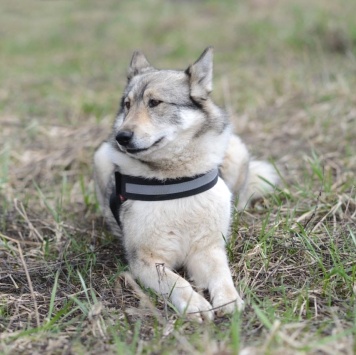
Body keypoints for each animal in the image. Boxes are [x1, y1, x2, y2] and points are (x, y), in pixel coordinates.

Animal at [92, 47, 278, 322]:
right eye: (127, 105)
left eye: (155, 103)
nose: (121, 137)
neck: (174, 180)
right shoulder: (146, 260)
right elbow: (177, 282)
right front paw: (195, 304)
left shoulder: (207, 249)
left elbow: (222, 275)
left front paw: (229, 299)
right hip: (101, 156)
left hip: (236, 151)